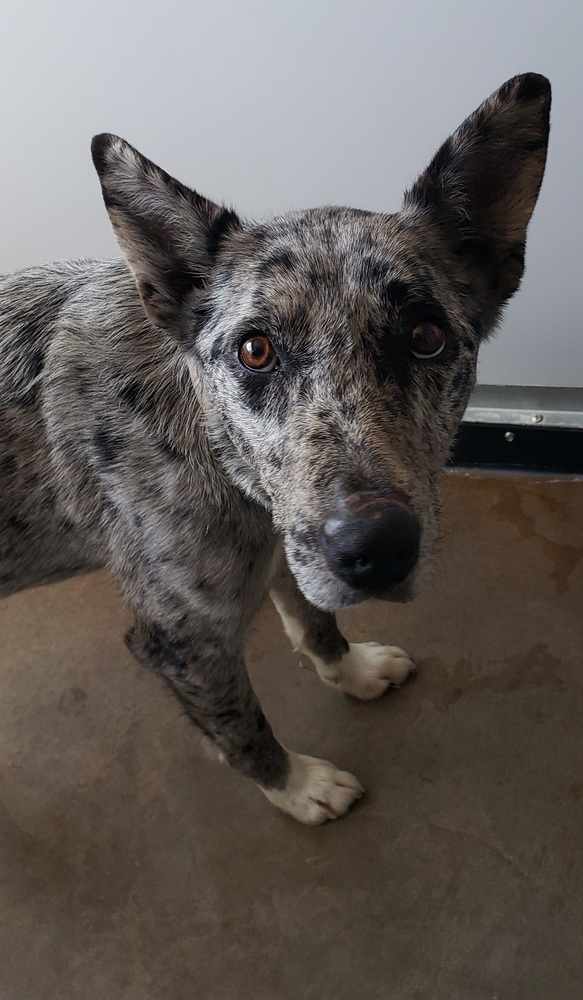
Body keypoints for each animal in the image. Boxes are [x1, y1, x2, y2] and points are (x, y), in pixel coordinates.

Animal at [0, 74, 548, 824]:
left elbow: (315, 621)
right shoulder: (182, 642)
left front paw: (351, 671)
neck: (212, 450)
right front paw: (298, 786)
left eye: (426, 336)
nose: (375, 550)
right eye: (254, 350)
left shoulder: (293, 540)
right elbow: (242, 729)